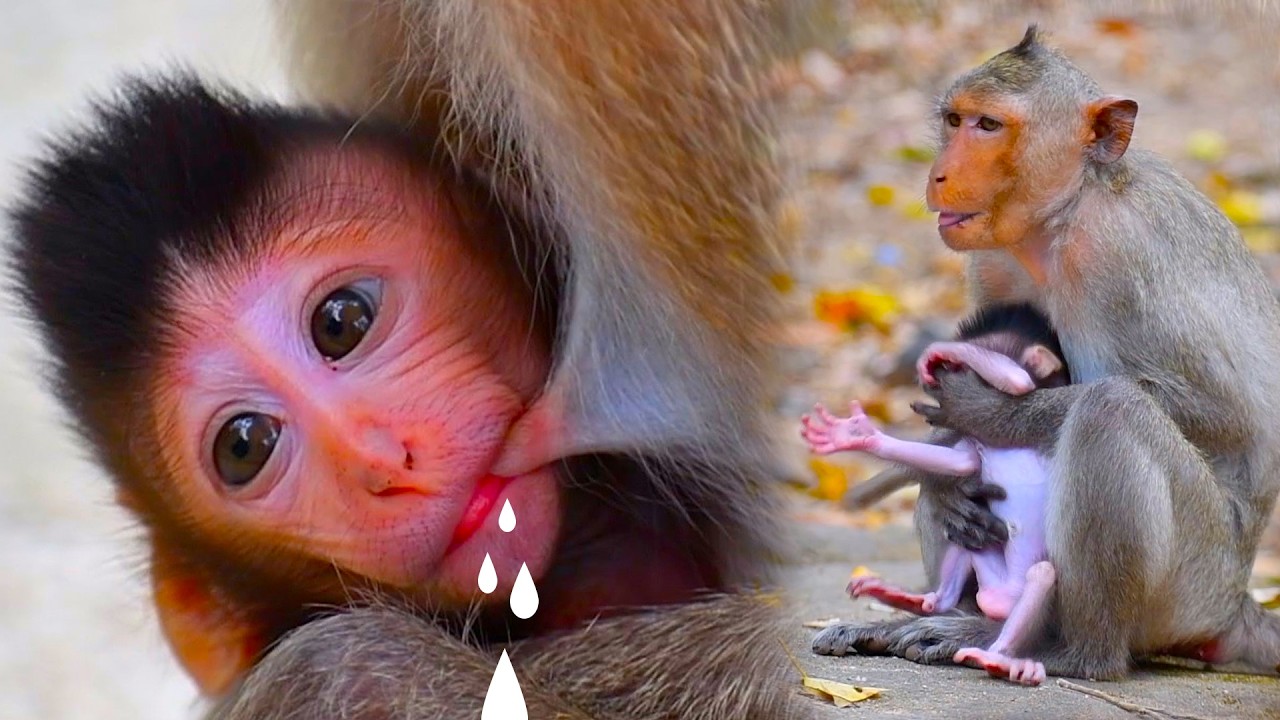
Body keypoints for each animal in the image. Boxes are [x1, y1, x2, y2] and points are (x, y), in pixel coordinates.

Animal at [803, 303, 1067, 685]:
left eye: (959, 372)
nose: (939, 380)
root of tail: (995, 599)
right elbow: (960, 465)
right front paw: (860, 436)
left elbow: (1017, 381)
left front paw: (941, 351)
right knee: (967, 540)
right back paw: (922, 600)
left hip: (1018, 593)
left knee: (1042, 576)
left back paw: (998, 656)